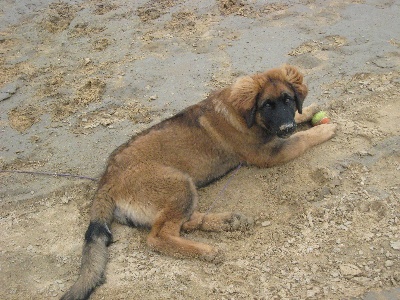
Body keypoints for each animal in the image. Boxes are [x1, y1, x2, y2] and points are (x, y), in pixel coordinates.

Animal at [61, 64, 338, 298]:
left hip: (179, 191)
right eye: (267, 105)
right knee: (159, 237)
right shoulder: (270, 154)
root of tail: (106, 179)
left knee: (184, 222)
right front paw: (323, 129)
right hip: (178, 182)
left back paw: (227, 221)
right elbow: (302, 140)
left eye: (288, 100)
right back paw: (206, 250)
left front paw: (310, 110)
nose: (286, 127)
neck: (243, 114)